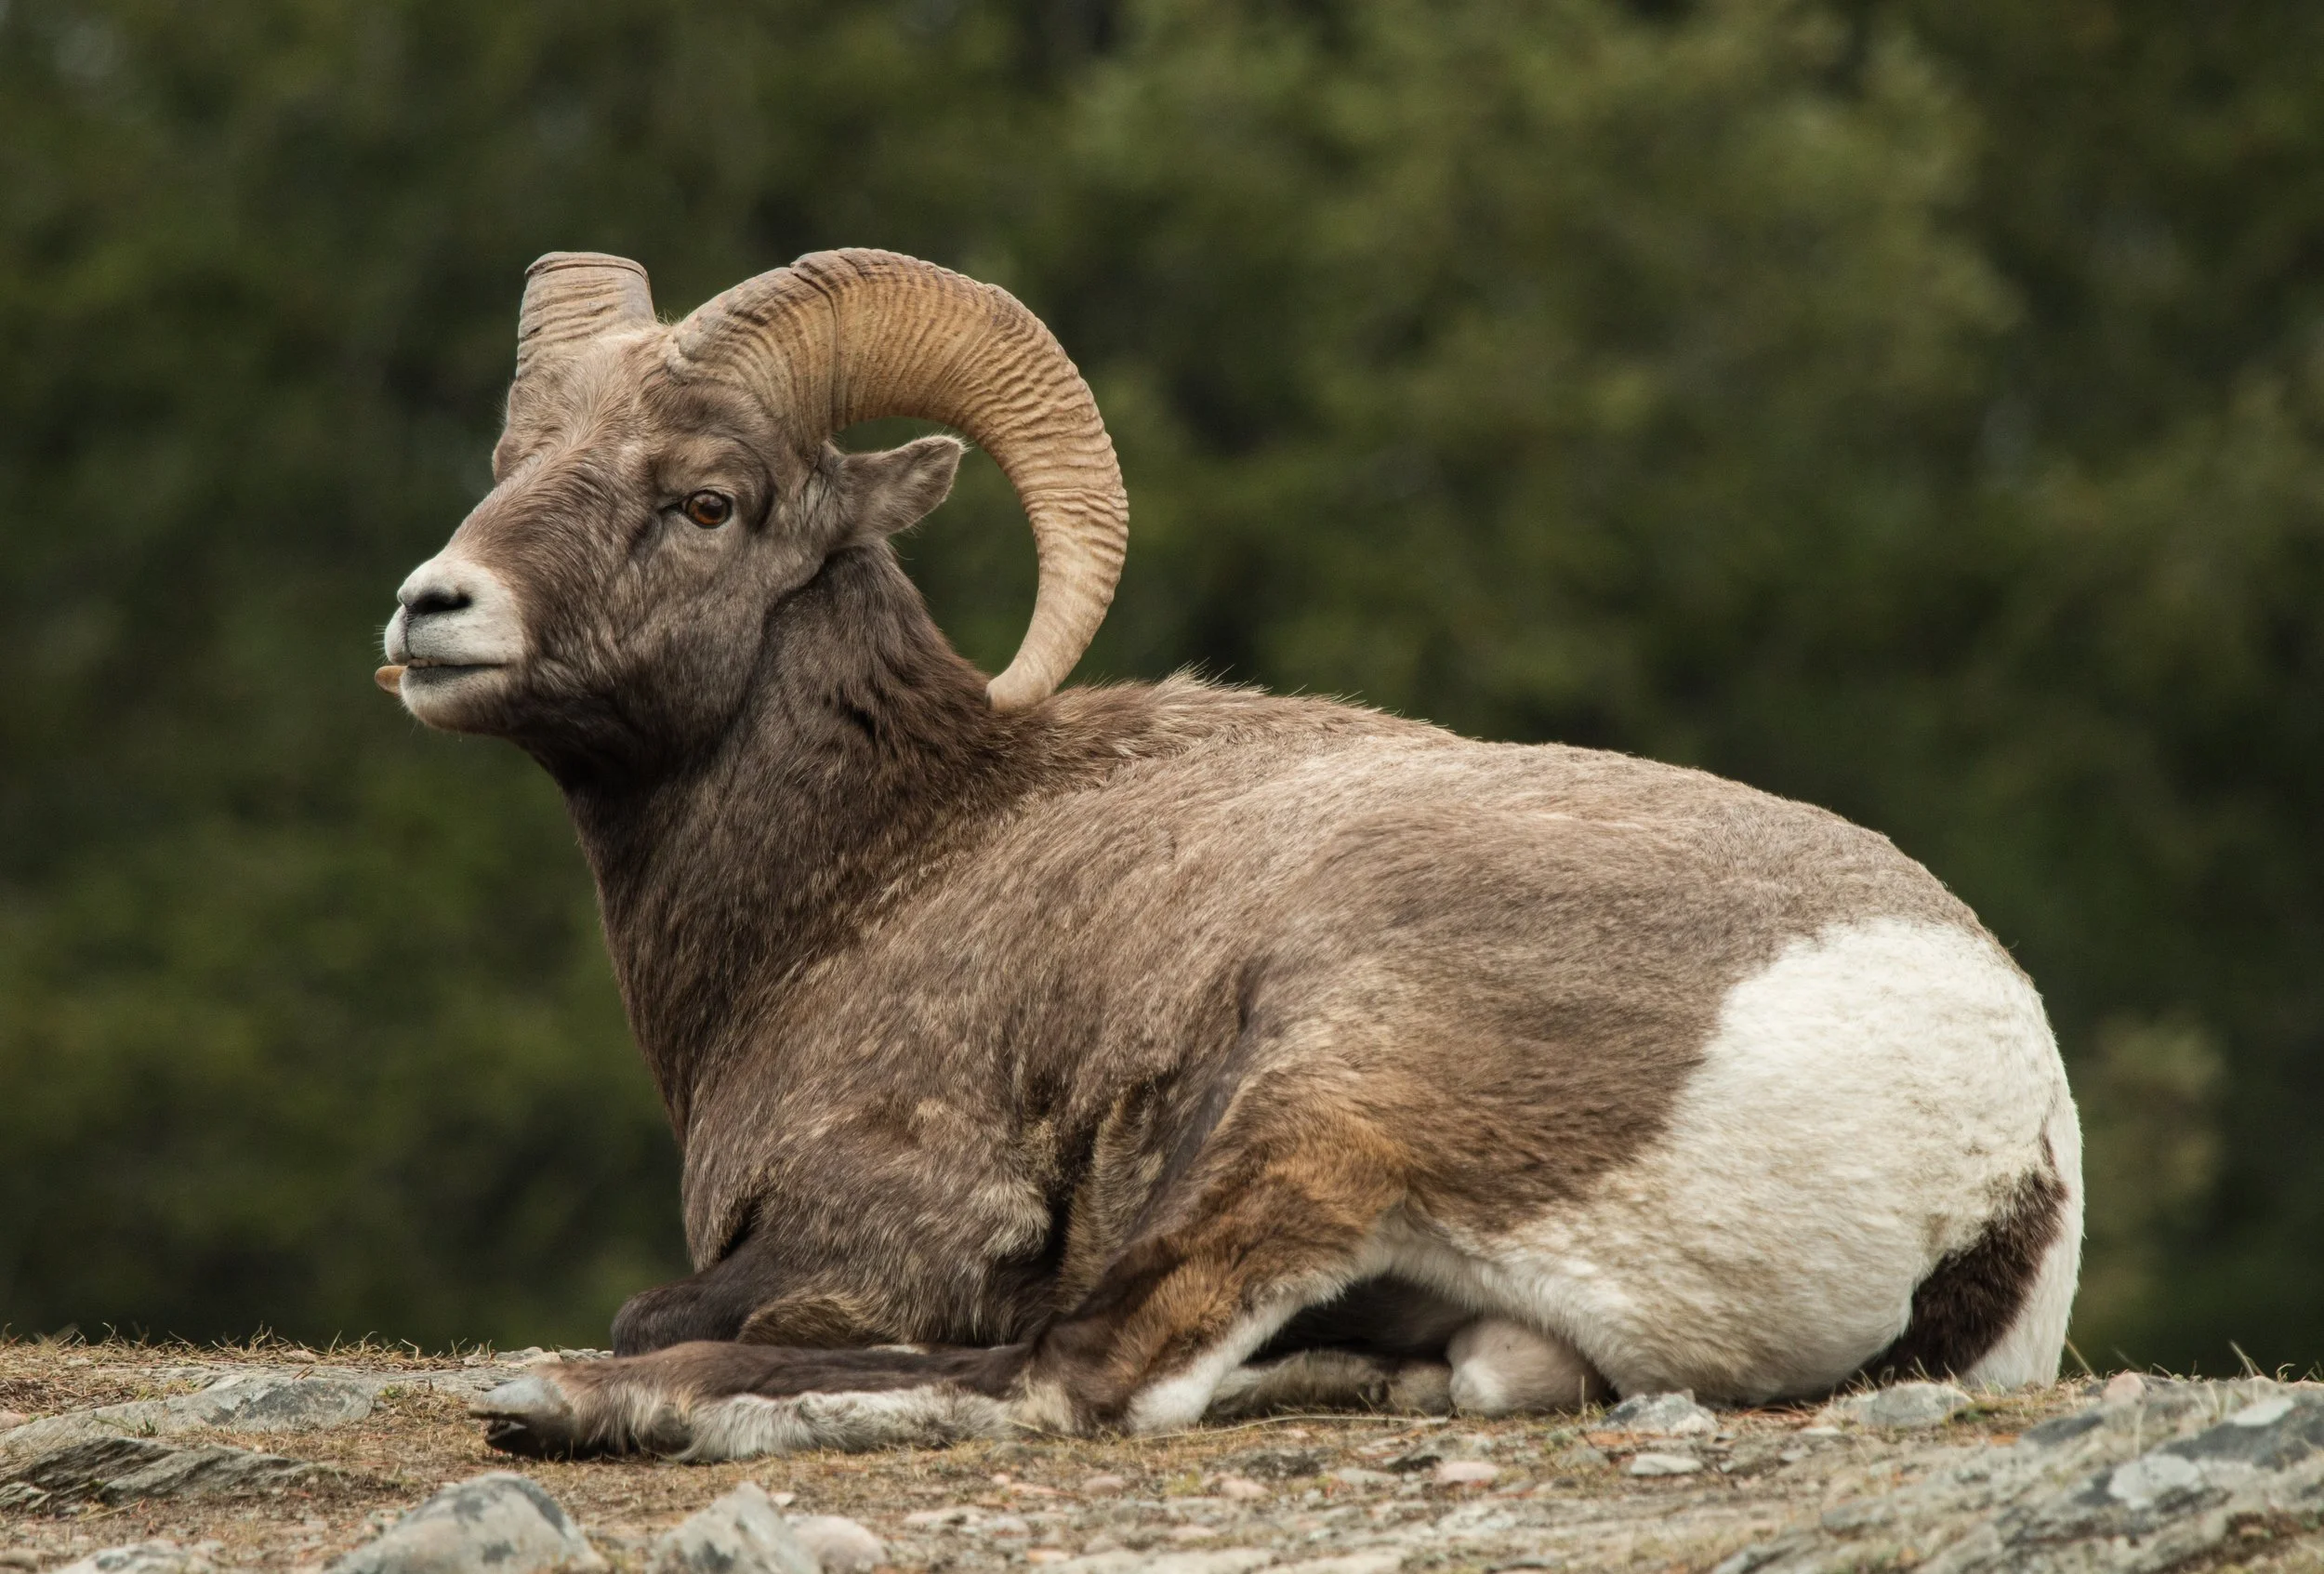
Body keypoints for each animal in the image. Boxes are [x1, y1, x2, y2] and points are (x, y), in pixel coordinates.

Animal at [378, 249, 2082, 1460]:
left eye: (708, 499)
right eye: (512, 457)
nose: (431, 609)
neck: (877, 865)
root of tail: (1993, 1152)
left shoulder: (887, 1228)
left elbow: (682, 1301)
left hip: (1314, 1111)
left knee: (1085, 1375)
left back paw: (605, 1403)